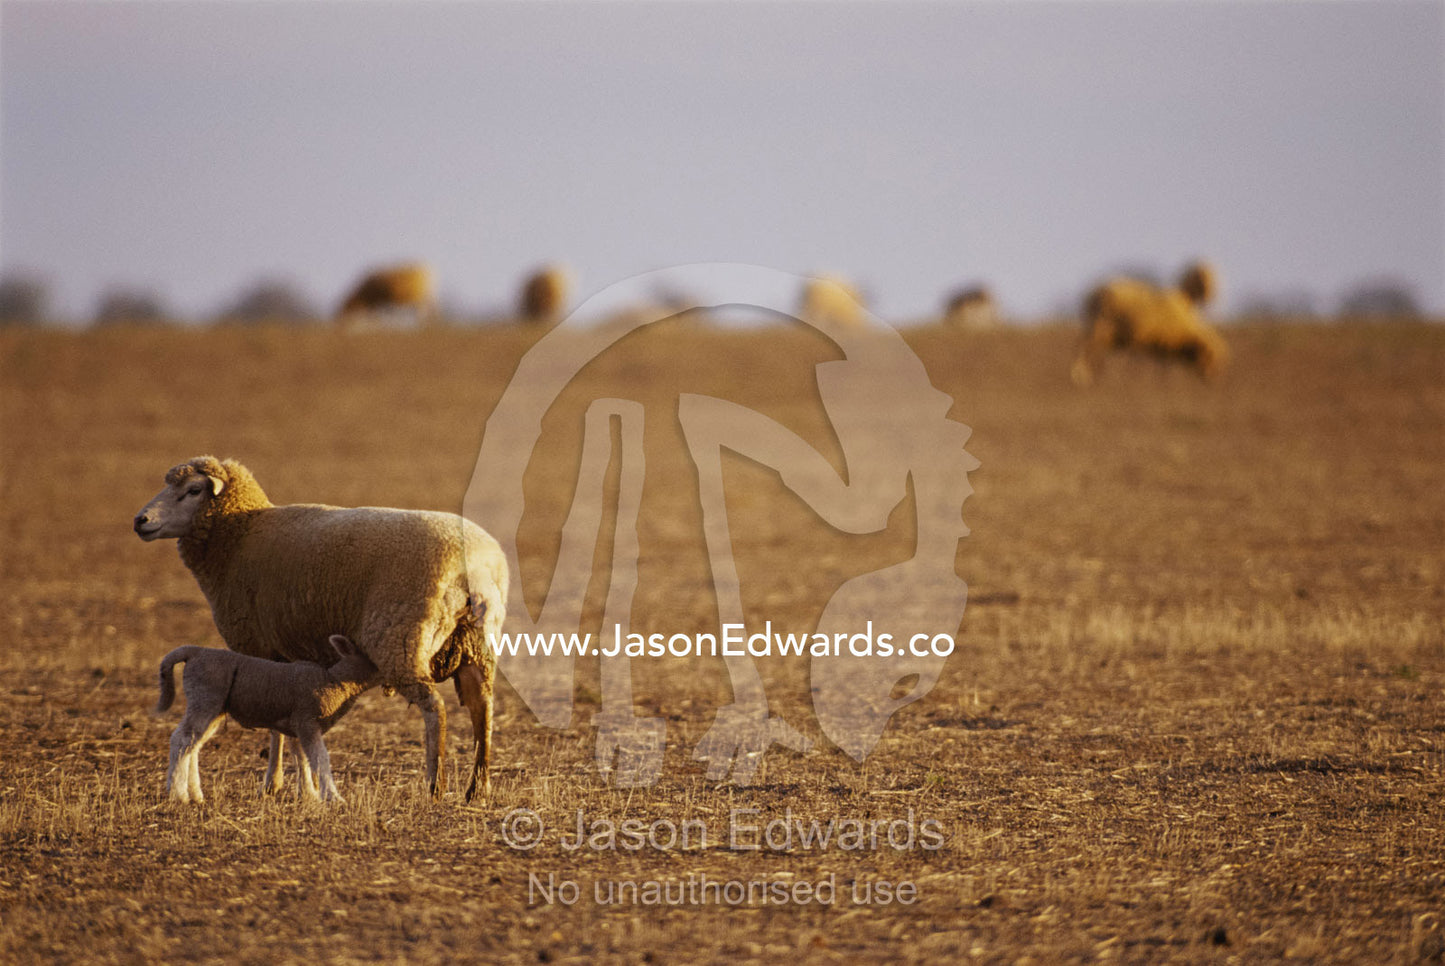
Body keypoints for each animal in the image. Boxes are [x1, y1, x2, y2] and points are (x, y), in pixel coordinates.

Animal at [155, 634, 379, 804]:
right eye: (370, 658)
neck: (333, 681)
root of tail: (194, 652)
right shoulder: (306, 721)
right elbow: (320, 759)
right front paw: (333, 797)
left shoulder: (299, 726)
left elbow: (303, 758)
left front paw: (311, 795)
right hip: (204, 699)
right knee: (182, 740)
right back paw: (178, 794)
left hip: (214, 709)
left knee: (194, 744)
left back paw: (196, 794)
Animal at [1071, 260, 1228, 386]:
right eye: (1212, 358)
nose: (1214, 380)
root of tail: (1091, 293)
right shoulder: (1163, 340)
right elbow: (1163, 365)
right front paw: (1164, 381)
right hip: (1099, 327)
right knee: (1085, 349)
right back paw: (1081, 376)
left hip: (1104, 332)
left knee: (1094, 352)